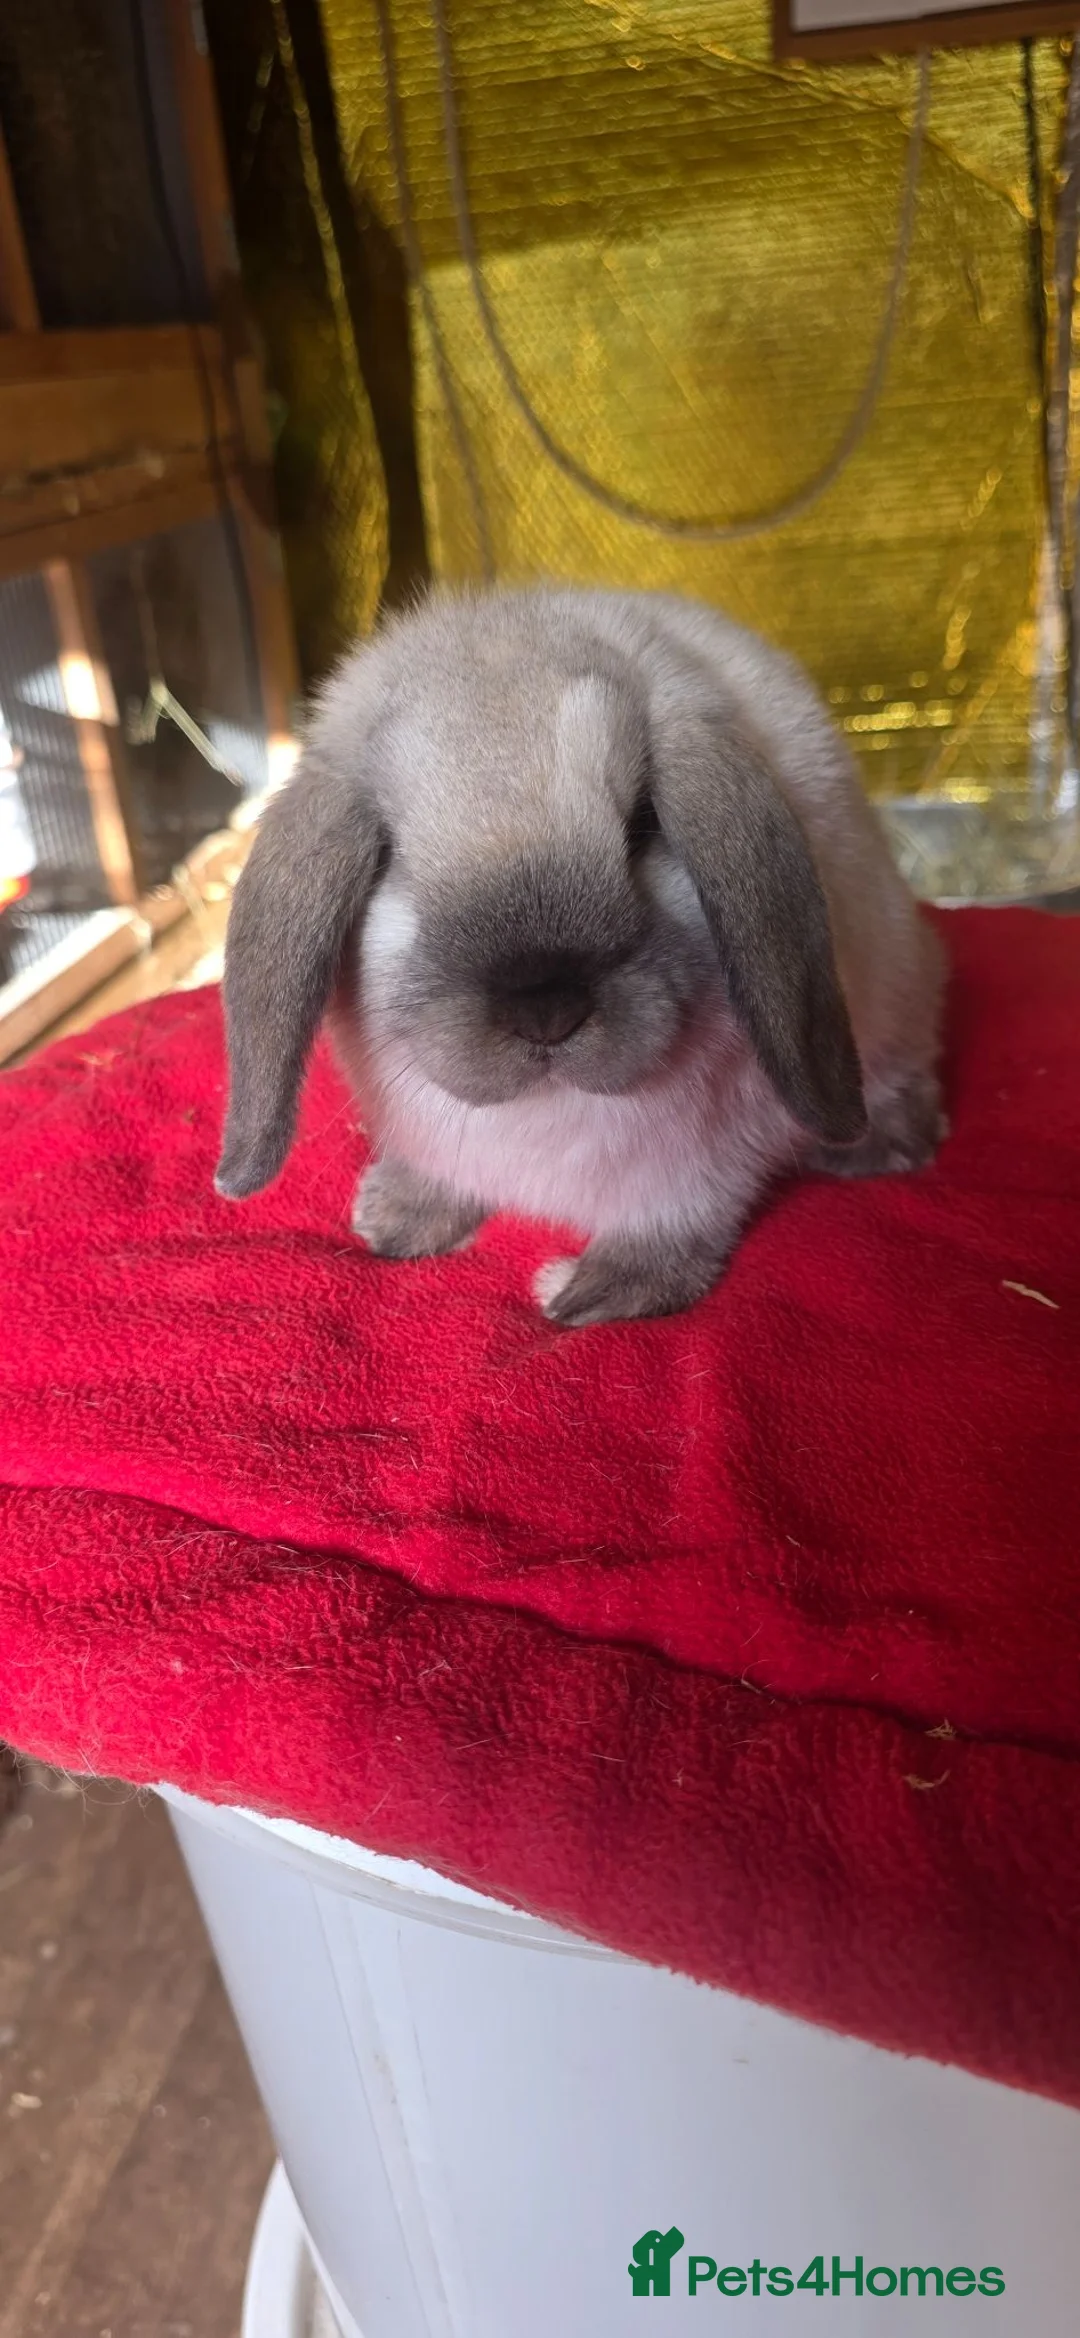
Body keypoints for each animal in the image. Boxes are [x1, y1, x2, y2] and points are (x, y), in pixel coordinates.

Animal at [216, 586, 946, 1326]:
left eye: (643, 824)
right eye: (390, 854)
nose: (546, 1009)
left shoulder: (701, 1172)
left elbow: (670, 1234)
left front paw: (584, 1297)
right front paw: (395, 1223)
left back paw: (882, 1147)